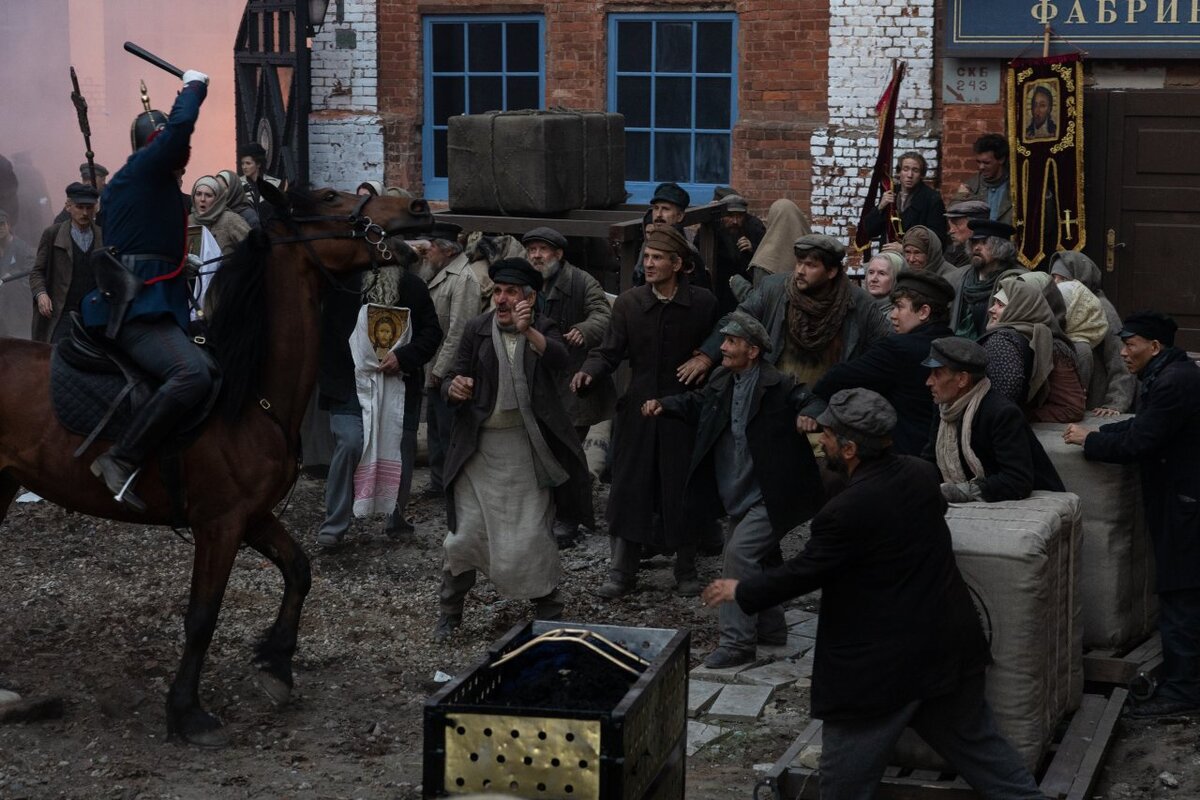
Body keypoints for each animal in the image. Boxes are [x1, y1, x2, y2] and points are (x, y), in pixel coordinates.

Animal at [0, 187, 434, 746]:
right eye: (331, 198)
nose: (418, 207)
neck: (250, 398)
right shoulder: (220, 524)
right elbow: (203, 616)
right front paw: (186, 711)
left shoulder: (252, 517)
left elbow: (299, 570)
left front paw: (276, 666)